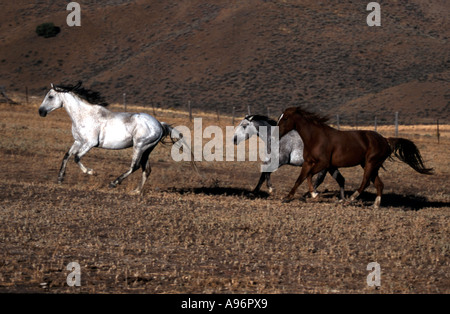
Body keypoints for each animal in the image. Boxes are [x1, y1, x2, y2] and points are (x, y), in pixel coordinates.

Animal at [39, 82, 198, 193]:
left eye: (50, 96)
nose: (41, 112)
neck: (84, 115)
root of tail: (160, 124)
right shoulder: (78, 141)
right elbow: (67, 156)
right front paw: (60, 179)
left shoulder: (90, 143)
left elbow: (77, 157)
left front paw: (92, 172)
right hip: (147, 149)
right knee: (146, 170)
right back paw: (136, 191)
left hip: (140, 146)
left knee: (134, 166)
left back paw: (114, 183)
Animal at [278, 107, 432, 209]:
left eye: (285, 118)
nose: (277, 132)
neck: (316, 137)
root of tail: (385, 140)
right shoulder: (309, 163)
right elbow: (300, 178)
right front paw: (287, 198)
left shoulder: (323, 163)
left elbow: (309, 176)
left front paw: (315, 195)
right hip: (371, 165)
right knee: (379, 184)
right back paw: (375, 206)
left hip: (370, 163)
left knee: (365, 182)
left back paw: (349, 200)